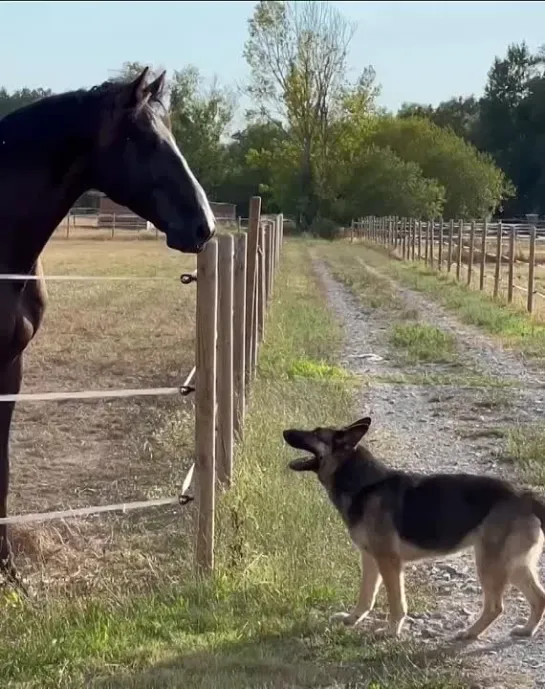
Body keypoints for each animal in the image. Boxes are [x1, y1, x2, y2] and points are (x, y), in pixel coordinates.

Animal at [282, 416, 544, 636]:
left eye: (316, 433)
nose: (285, 431)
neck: (363, 483)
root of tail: (526, 496)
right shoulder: (370, 558)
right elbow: (366, 595)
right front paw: (353, 619)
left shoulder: (389, 562)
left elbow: (396, 601)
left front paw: (391, 631)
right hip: (513, 565)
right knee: (539, 598)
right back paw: (526, 630)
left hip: (491, 564)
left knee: (496, 606)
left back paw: (470, 633)